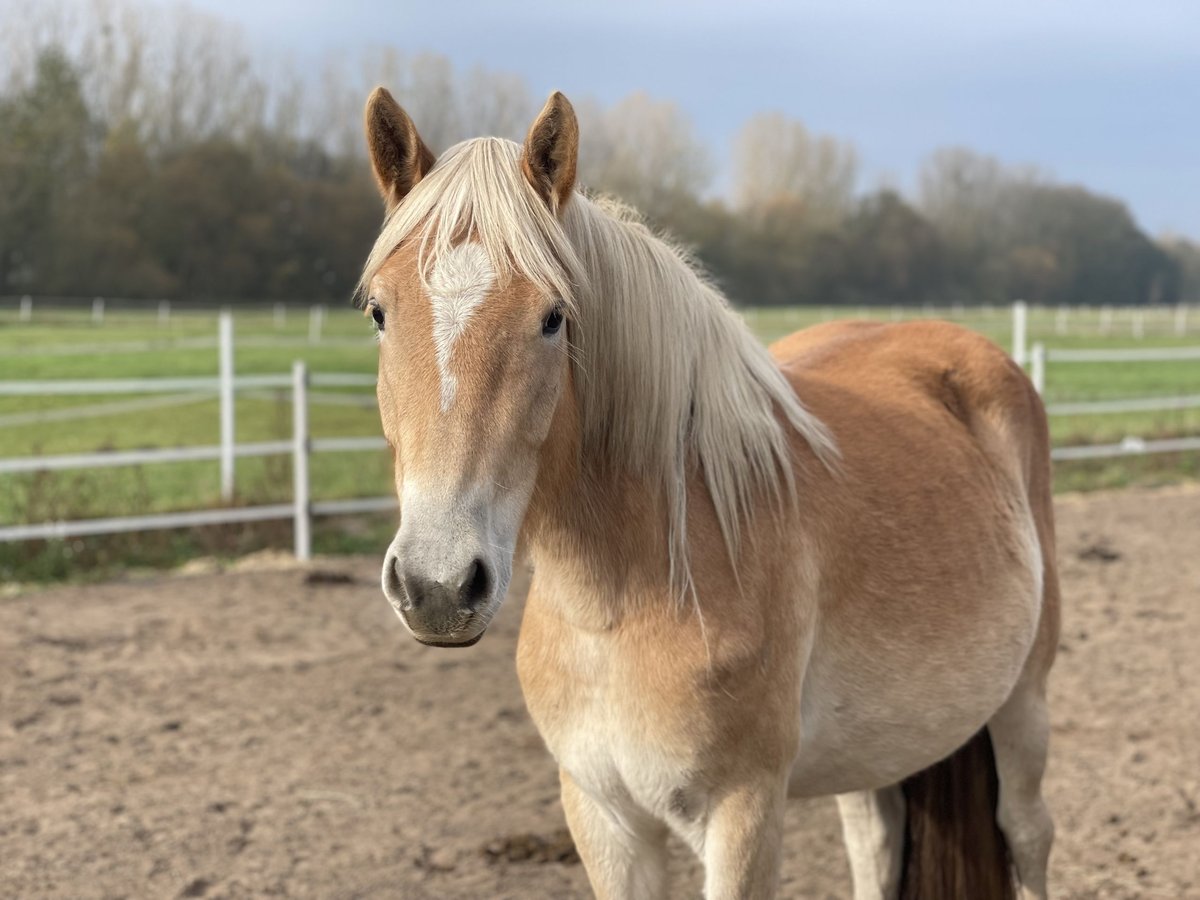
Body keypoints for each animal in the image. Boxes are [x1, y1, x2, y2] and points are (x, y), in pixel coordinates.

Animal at [355, 86, 1060, 900]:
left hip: (1024, 701)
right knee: (875, 843)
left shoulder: (744, 811)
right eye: (380, 312)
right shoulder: (604, 818)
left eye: (552, 318)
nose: (438, 585)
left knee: (1027, 834)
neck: (621, 604)